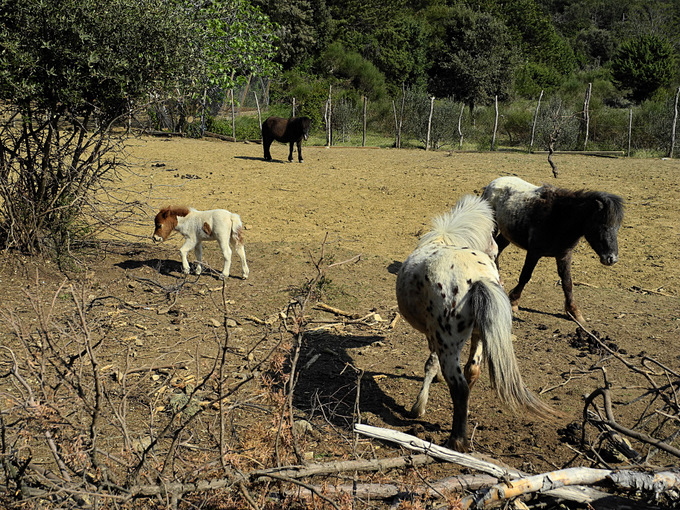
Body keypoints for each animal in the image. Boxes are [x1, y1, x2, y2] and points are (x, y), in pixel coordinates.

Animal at [394, 194, 556, 450]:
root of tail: (477, 279)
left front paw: (418, 407)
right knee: (472, 371)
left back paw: (456, 441)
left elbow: (430, 362)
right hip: (479, 335)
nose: (497, 249)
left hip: (448, 342)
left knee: (459, 386)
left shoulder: (434, 335)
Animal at [480, 175, 624, 322]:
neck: (558, 217)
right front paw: (514, 302)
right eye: (602, 226)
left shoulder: (564, 255)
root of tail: (491, 185)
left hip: (507, 234)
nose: (612, 259)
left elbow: (567, 282)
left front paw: (573, 311)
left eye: (617, 227)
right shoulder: (534, 252)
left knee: (498, 249)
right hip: (493, 228)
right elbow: (525, 276)